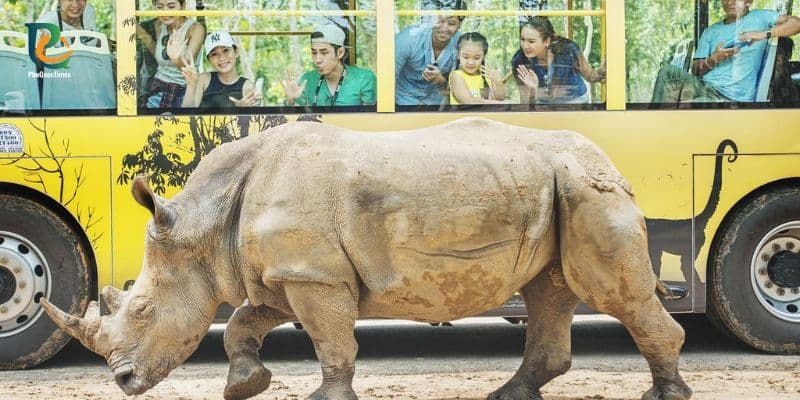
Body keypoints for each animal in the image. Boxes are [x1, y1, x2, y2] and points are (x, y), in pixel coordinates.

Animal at [41, 118, 691, 400]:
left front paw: (325, 398)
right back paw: (510, 395)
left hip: (585, 189)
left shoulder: (314, 277)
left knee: (610, 293)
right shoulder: (289, 274)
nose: (123, 382)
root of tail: (609, 162)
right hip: (556, 188)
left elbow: (331, 341)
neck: (205, 223)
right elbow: (246, 321)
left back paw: (664, 396)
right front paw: (247, 385)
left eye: (143, 310)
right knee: (549, 291)